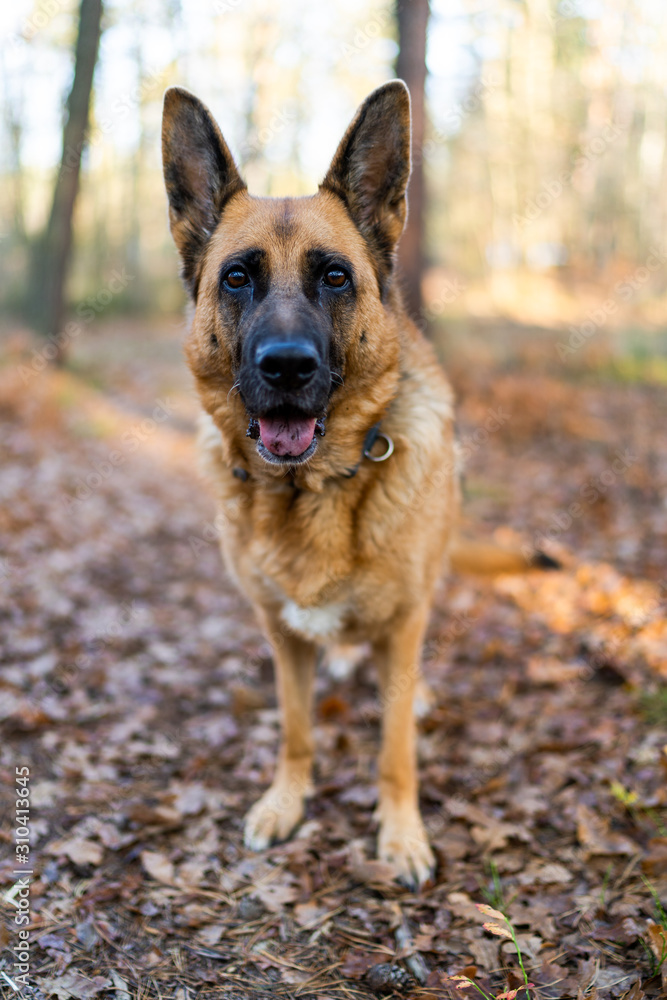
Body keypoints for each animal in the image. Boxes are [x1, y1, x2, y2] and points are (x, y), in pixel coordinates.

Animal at [160, 82, 528, 888]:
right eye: (237, 276)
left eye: (334, 276)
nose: (287, 367)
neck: (311, 491)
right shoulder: (279, 635)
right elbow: (296, 729)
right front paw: (286, 801)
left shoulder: (406, 620)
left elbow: (393, 748)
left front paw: (400, 833)